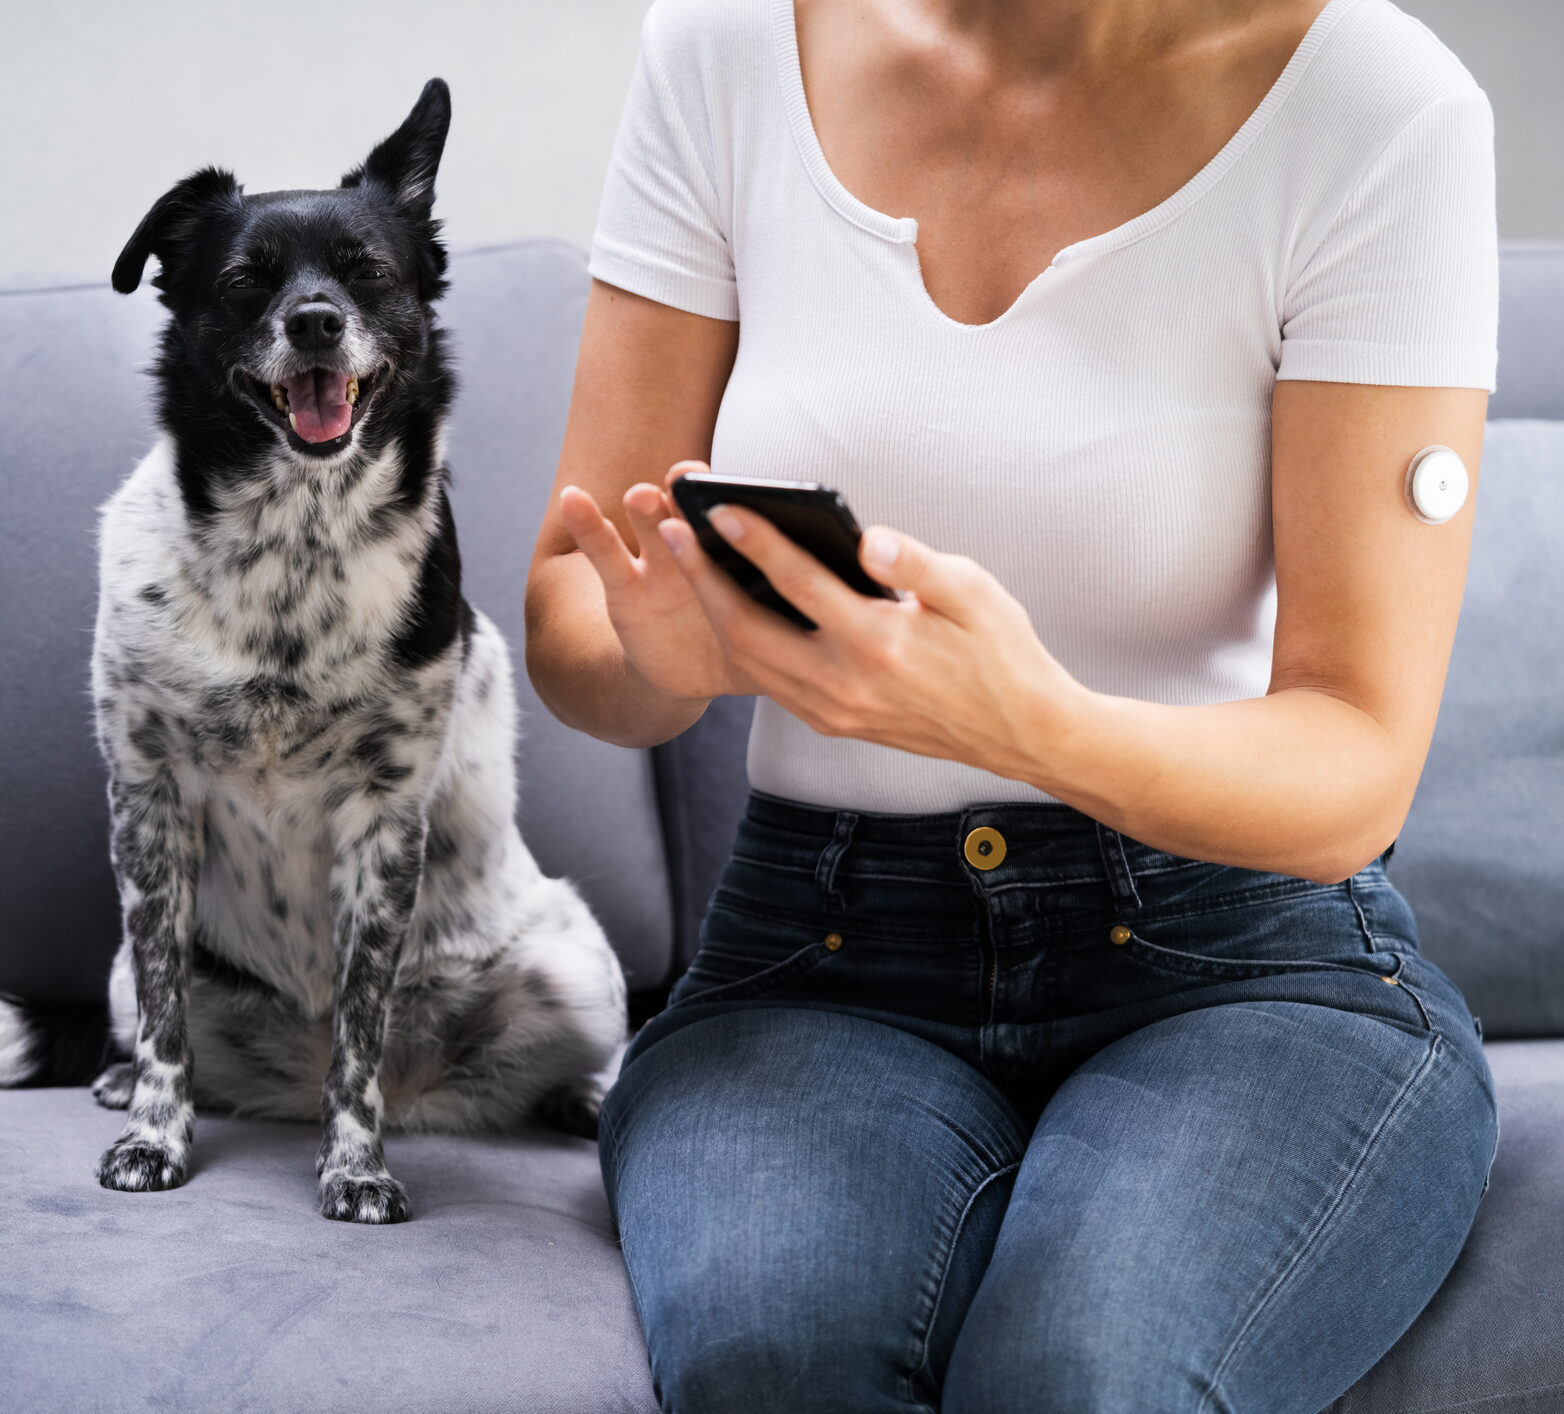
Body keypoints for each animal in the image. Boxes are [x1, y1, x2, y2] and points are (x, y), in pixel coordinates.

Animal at [0, 80, 628, 1226]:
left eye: (368, 270)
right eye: (246, 279)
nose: (316, 321)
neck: (294, 543)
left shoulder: (382, 824)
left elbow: (359, 1032)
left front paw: (357, 1167)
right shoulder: (147, 803)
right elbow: (165, 1018)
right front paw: (154, 1136)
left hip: (575, 968)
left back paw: (582, 1098)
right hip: (120, 962)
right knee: (154, 1021)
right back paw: (118, 1084)